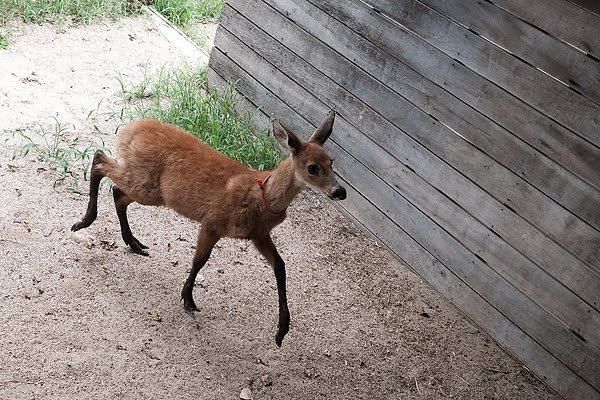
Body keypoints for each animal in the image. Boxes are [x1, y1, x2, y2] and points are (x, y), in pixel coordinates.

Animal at [71, 108, 346, 346]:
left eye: (332, 161)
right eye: (312, 167)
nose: (340, 191)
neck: (261, 195)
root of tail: (132, 129)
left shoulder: (258, 234)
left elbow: (280, 266)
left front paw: (281, 331)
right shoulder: (213, 222)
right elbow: (199, 260)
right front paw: (188, 301)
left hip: (152, 190)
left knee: (117, 192)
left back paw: (133, 243)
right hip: (146, 184)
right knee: (100, 161)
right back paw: (83, 222)